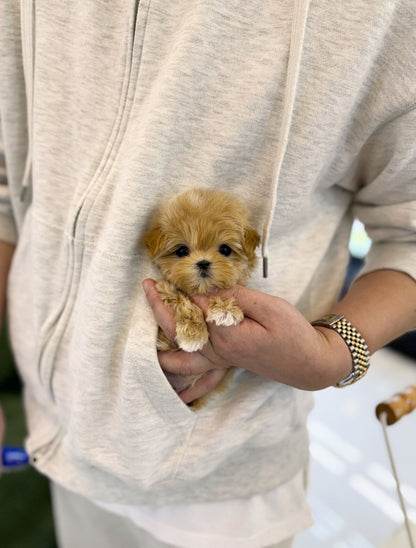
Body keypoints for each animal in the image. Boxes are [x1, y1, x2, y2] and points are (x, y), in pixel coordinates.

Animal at [145, 188, 258, 394]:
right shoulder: (165, 287)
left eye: (225, 249)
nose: (203, 263)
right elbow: (181, 299)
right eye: (182, 251)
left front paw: (224, 309)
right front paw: (193, 333)